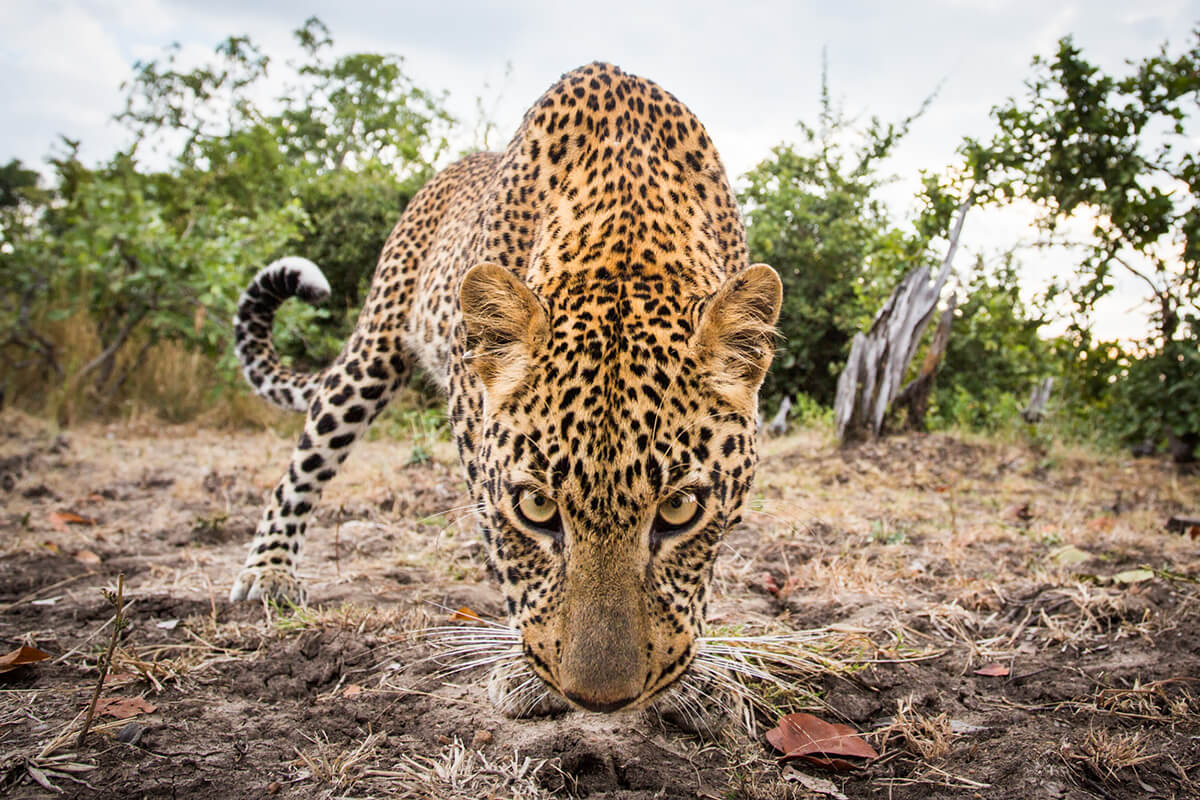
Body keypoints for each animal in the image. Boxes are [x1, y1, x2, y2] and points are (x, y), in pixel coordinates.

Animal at [228, 61, 782, 714]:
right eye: (536, 508)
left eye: (679, 510)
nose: (599, 701)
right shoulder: (473, 421)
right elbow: (508, 556)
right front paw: (522, 673)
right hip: (371, 352)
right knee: (305, 461)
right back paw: (269, 572)